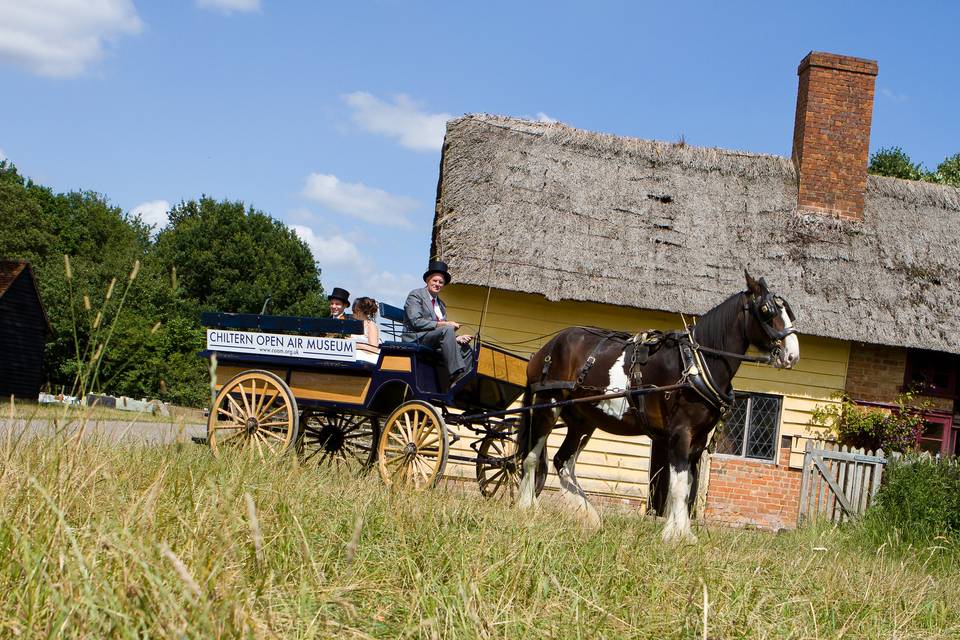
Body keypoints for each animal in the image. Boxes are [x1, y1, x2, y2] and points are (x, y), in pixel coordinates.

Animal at [520, 272, 800, 544]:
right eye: (766, 310)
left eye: (789, 311)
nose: (792, 356)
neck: (695, 364)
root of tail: (547, 347)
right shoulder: (680, 432)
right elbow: (678, 486)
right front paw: (674, 535)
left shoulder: (698, 439)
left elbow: (686, 485)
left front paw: (683, 533)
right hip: (548, 405)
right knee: (532, 456)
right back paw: (529, 507)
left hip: (583, 421)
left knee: (563, 461)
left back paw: (589, 515)